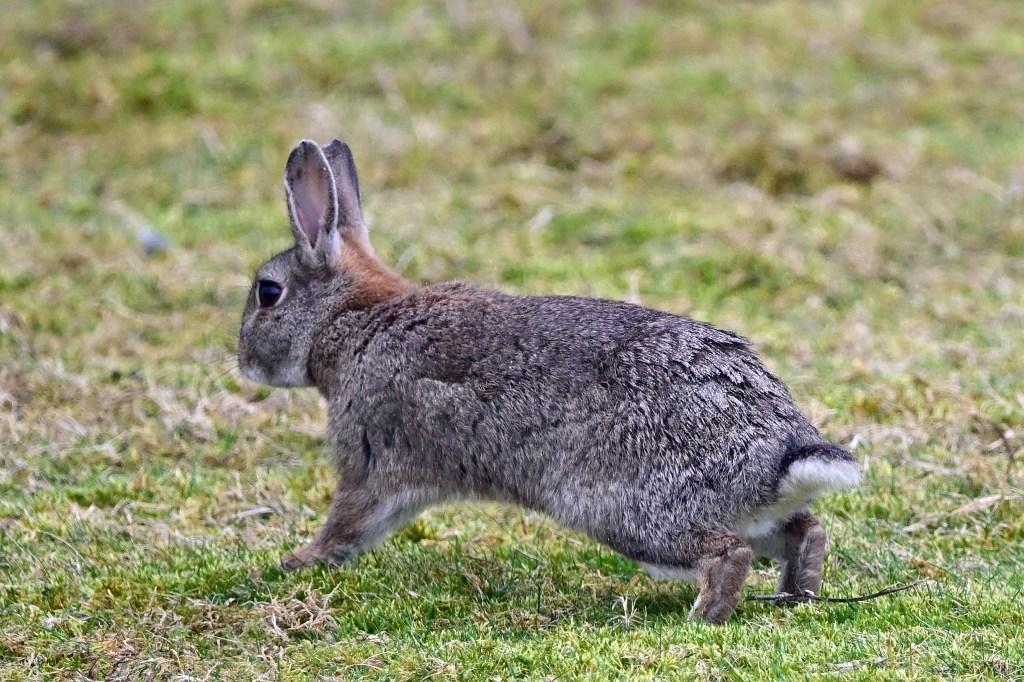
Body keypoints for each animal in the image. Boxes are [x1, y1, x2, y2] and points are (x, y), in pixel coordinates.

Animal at [237, 138, 860, 625]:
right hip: (750, 515)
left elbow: (348, 522)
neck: (349, 321)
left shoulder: (369, 460)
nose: (242, 362)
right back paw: (796, 598)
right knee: (807, 531)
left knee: (727, 555)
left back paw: (701, 619)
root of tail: (779, 451)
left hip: (632, 513)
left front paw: (298, 560)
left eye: (268, 293)